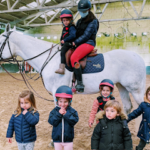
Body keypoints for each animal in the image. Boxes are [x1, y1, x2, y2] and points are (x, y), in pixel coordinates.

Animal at [0, 26, 145, 113]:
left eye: (0, 39)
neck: (51, 60)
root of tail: (138, 57)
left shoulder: (56, 91)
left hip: (135, 90)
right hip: (122, 86)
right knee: (127, 107)